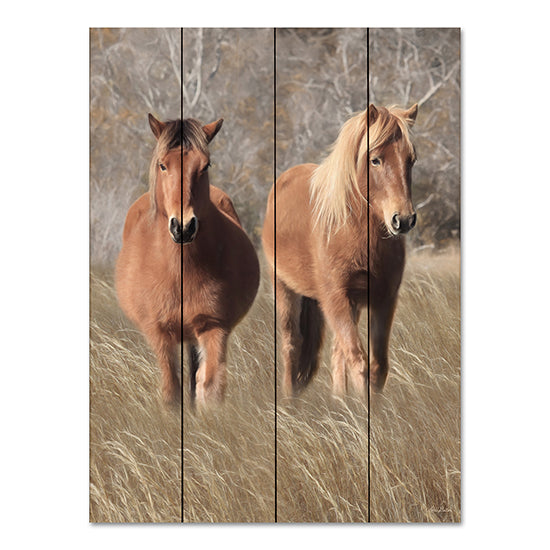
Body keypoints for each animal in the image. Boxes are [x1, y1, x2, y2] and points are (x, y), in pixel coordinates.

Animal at [116, 115, 260, 410]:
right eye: (163, 165)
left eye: (205, 165)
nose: (183, 227)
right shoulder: (160, 333)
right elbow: (171, 391)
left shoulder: (213, 326)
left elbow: (210, 388)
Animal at [264, 102, 418, 402]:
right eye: (375, 160)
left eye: (411, 160)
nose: (403, 220)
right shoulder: (335, 297)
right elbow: (358, 362)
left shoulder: (383, 299)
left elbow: (377, 366)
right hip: (285, 289)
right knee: (291, 344)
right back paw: (289, 402)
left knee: (336, 352)